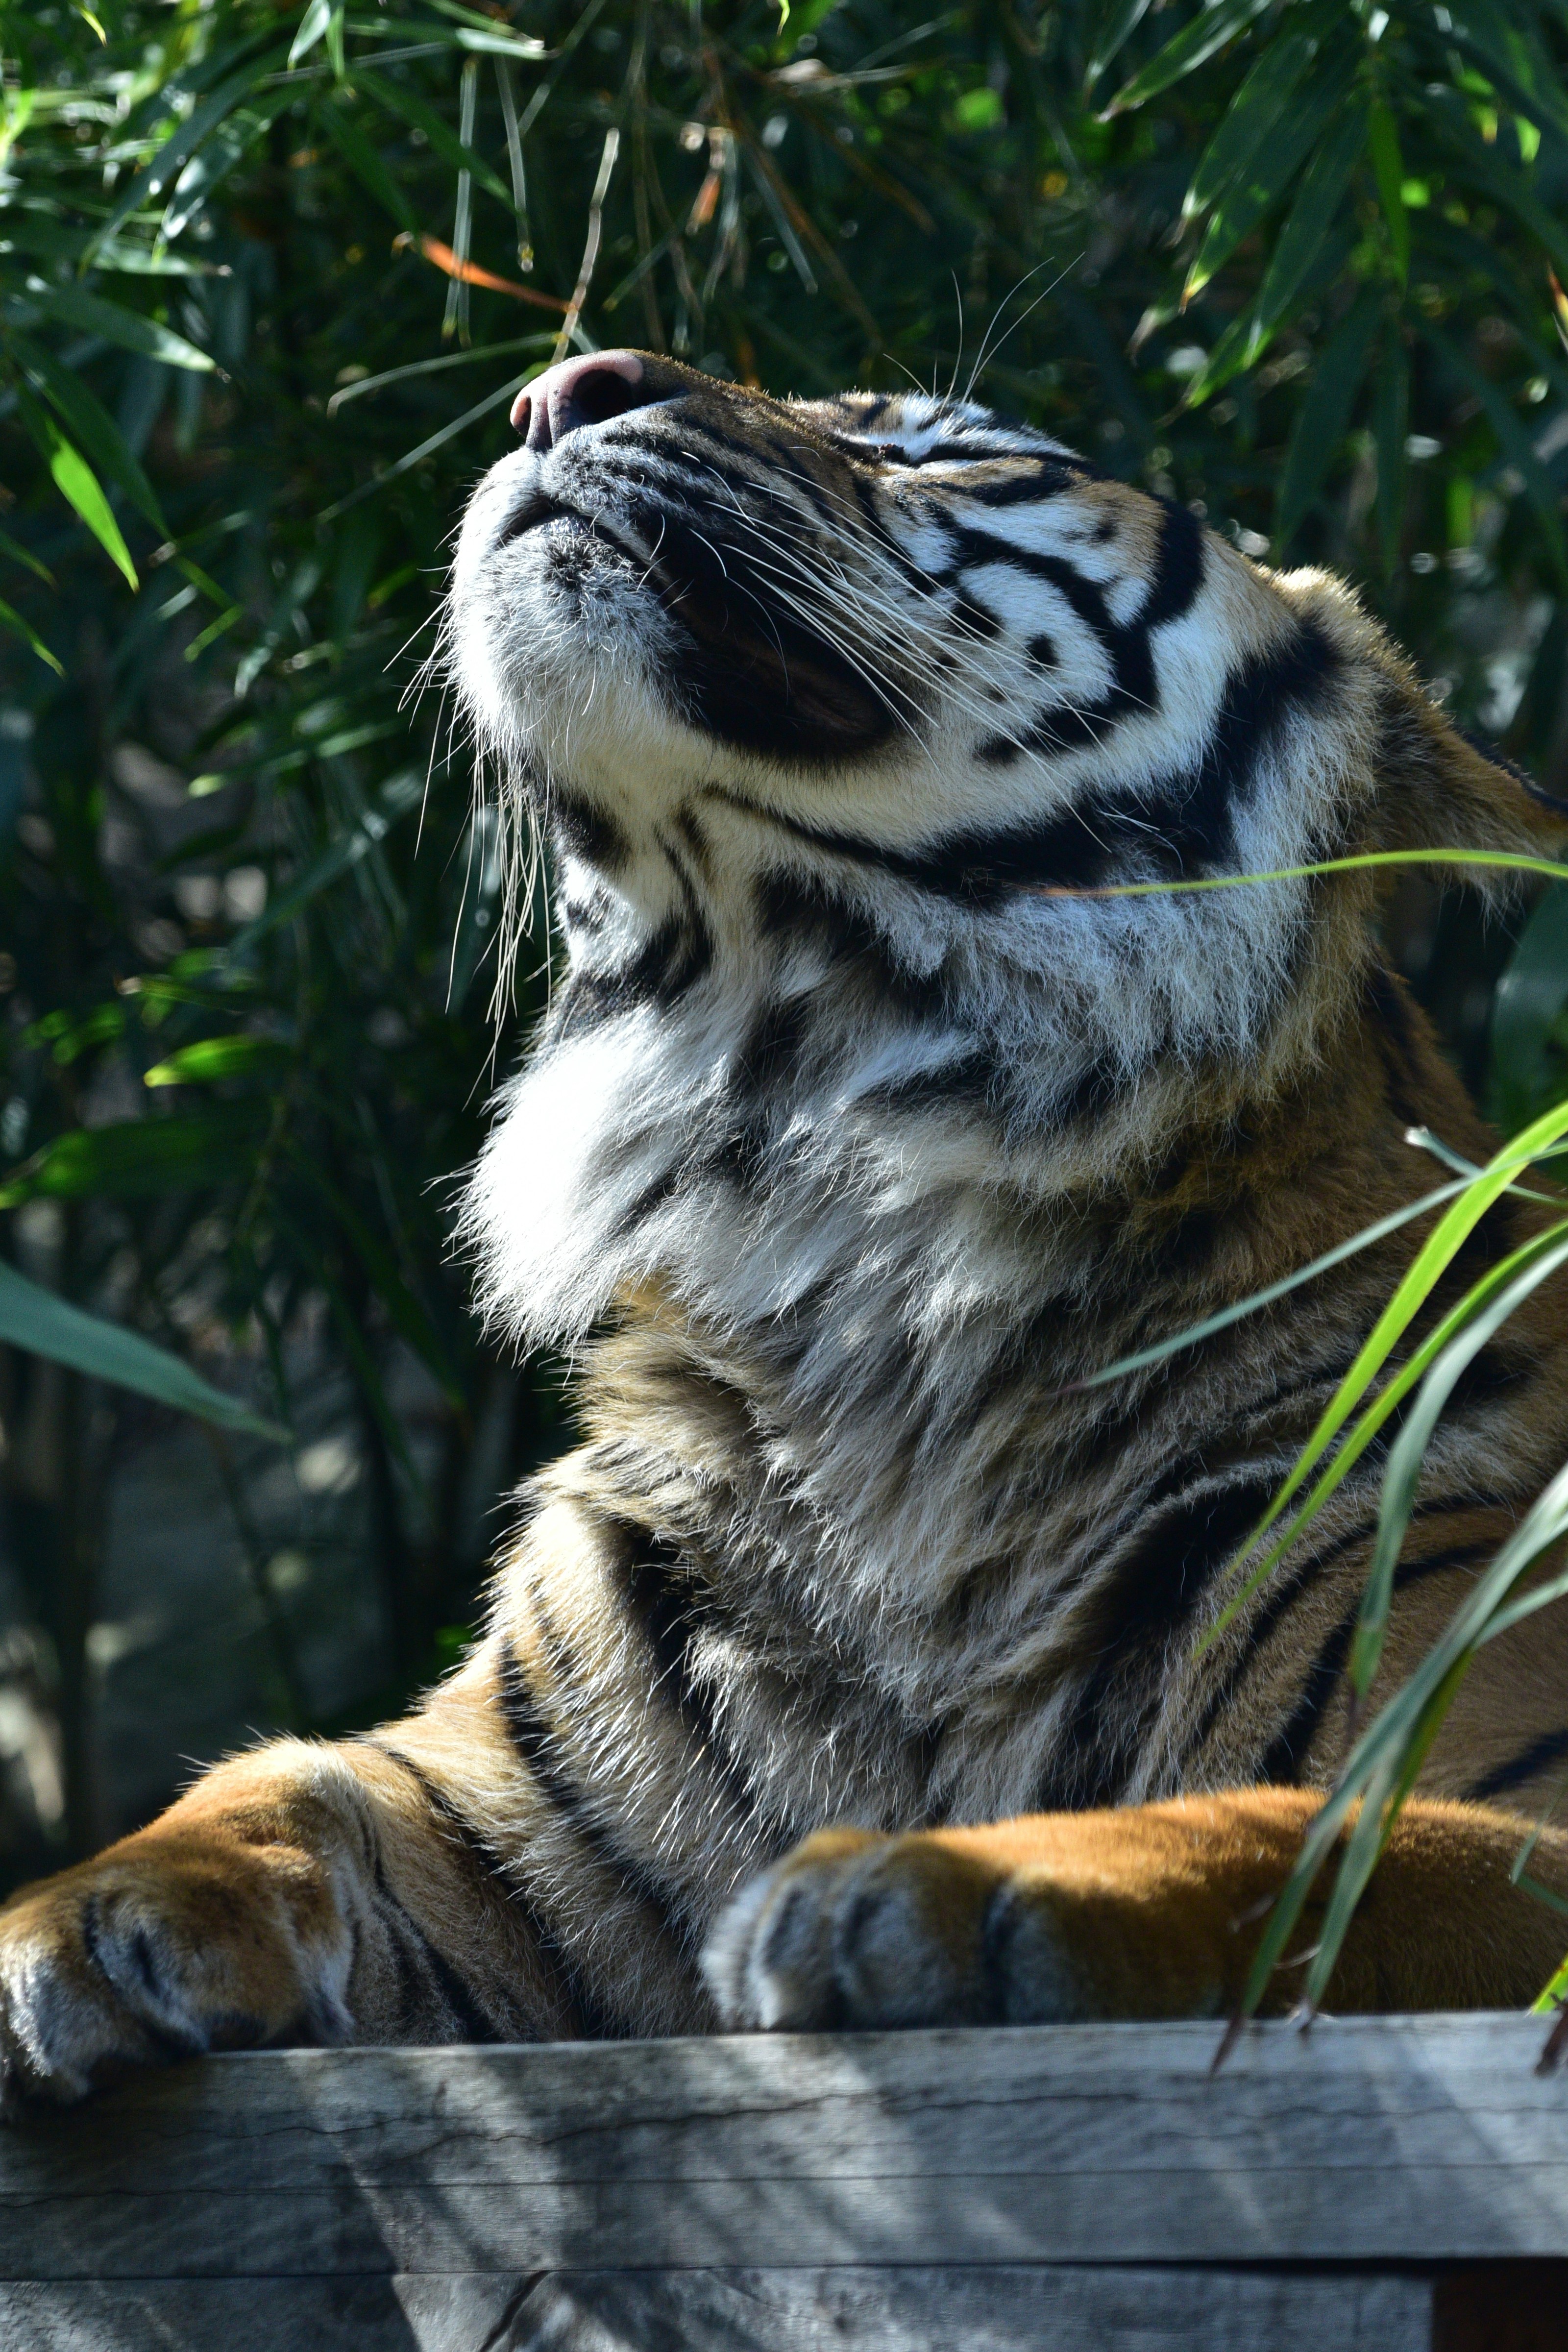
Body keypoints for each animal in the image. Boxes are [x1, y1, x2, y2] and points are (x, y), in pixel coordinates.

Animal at [3, 347, 1568, 2105]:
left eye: (948, 453)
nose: (561, 385)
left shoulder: (1518, 1797)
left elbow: (1313, 1839)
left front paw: (946, 1882)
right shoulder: (511, 1805)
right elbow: (284, 1780)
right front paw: (85, 1914)